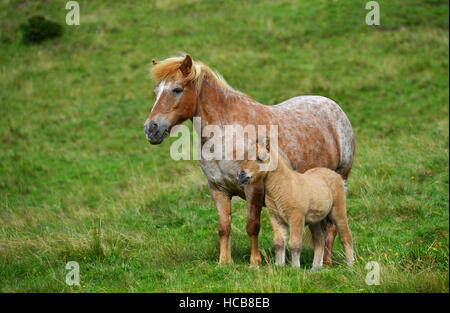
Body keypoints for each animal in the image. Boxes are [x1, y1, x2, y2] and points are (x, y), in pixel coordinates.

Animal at [144, 54, 356, 264]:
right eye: (155, 92)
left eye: (177, 89)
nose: (150, 129)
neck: (225, 133)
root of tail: (333, 106)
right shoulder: (218, 189)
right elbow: (224, 227)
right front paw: (224, 261)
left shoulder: (253, 187)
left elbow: (252, 225)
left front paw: (255, 262)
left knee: (332, 227)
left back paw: (326, 262)